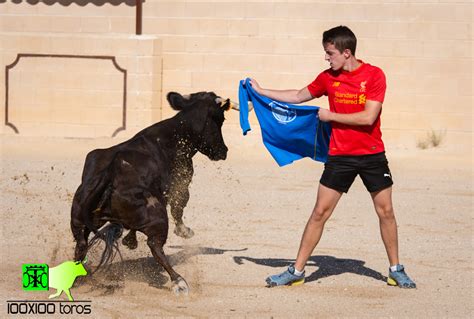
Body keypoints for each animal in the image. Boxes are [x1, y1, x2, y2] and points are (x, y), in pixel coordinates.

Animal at [70, 90, 231, 296]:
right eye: (220, 119)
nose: (224, 151)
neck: (177, 132)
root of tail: (110, 172)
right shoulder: (182, 182)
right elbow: (179, 207)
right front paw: (184, 231)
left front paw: (130, 241)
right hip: (158, 217)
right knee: (155, 245)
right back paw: (178, 281)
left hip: (79, 219)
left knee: (81, 245)